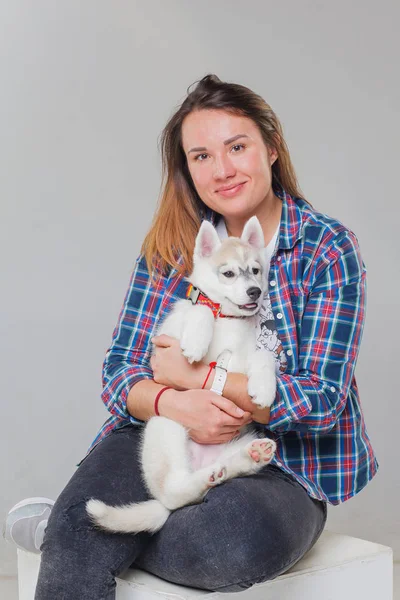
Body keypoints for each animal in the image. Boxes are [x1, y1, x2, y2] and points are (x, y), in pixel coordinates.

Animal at [86, 217, 276, 536]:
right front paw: (197, 341)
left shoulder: (247, 355)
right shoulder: (168, 336)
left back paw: (246, 458)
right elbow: (200, 310)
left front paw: (264, 388)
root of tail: (200, 462)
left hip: (239, 439)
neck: (227, 319)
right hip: (168, 424)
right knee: (174, 493)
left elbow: (266, 357)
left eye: (255, 270)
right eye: (228, 273)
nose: (254, 292)